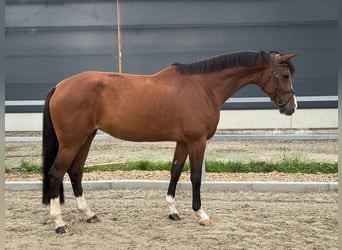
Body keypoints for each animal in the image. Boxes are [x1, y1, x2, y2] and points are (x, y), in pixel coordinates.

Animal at [41, 49, 296, 233]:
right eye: (285, 75)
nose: (291, 108)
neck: (203, 87)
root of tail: (59, 86)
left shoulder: (183, 142)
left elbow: (175, 172)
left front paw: (173, 211)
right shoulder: (197, 142)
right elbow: (195, 177)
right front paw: (202, 215)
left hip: (86, 138)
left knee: (75, 171)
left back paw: (89, 214)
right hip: (72, 142)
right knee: (55, 173)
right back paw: (60, 223)